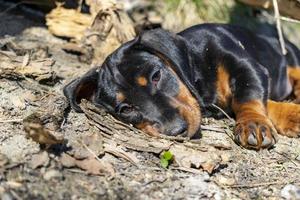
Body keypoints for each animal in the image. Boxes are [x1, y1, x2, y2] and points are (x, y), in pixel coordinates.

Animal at [63, 23, 300, 149]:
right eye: (126, 109)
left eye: (156, 75)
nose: (176, 131)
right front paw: (291, 116)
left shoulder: (247, 66)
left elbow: (247, 95)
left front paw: (253, 124)